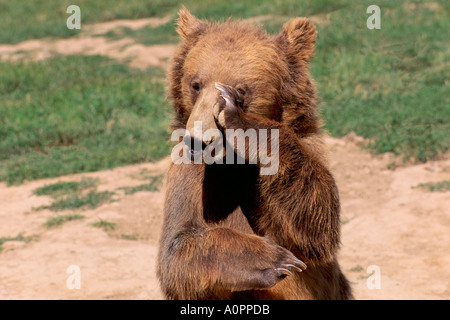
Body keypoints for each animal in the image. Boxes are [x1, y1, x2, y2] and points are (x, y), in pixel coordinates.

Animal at [156, 8, 354, 300]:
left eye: (241, 89)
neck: (233, 161)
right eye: (196, 84)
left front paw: (241, 122)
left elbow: (318, 223)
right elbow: (178, 251)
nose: (198, 141)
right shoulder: (189, 176)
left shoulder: (308, 145)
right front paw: (275, 260)